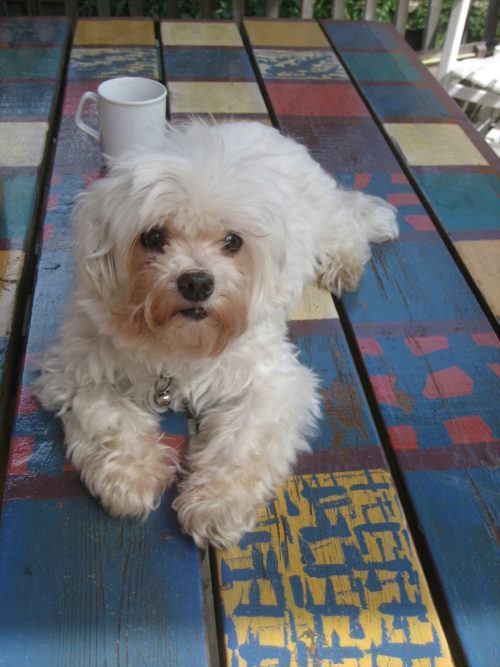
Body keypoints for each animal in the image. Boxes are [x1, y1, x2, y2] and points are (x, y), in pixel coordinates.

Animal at [36, 120, 398, 548]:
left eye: (233, 241)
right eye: (153, 237)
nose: (197, 281)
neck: (179, 345)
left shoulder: (273, 382)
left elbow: (241, 443)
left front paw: (215, 504)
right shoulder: (76, 369)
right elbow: (106, 418)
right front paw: (130, 476)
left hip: (322, 219)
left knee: (347, 229)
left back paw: (344, 264)